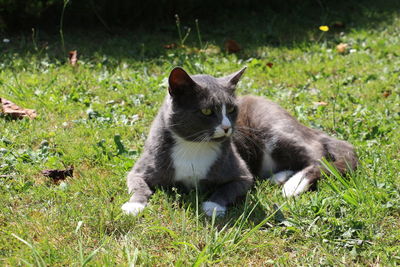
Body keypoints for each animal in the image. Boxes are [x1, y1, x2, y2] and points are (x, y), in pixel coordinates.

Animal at [120, 67, 358, 218]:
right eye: (207, 111)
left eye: (232, 109)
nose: (227, 127)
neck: (193, 146)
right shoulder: (144, 165)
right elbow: (137, 183)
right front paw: (133, 206)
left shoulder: (240, 173)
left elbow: (231, 187)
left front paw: (212, 206)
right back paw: (281, 177)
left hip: (274, 130)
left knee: (320, 157)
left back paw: (293, 185)